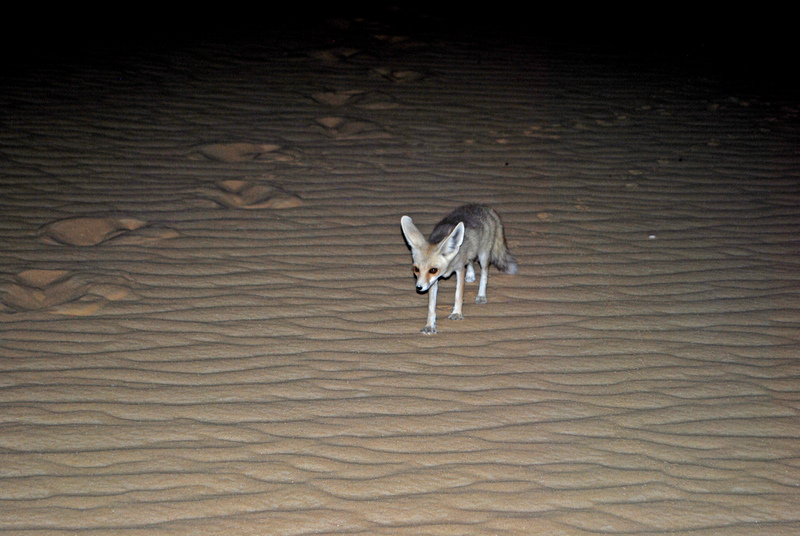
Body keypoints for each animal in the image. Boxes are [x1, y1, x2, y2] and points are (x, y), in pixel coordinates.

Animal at [400, 203, 520, 332]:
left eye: (433, 270)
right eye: (416, 269)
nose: (419, 287)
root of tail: (484, 207)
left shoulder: (459, 269)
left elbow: (458, 294)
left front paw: (457, 313)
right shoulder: (433, 281)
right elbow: (431, 306)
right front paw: (430, 325)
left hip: (483, 255)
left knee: (484, 273)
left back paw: (481, 295)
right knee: (471, 260)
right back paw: (471, 275)